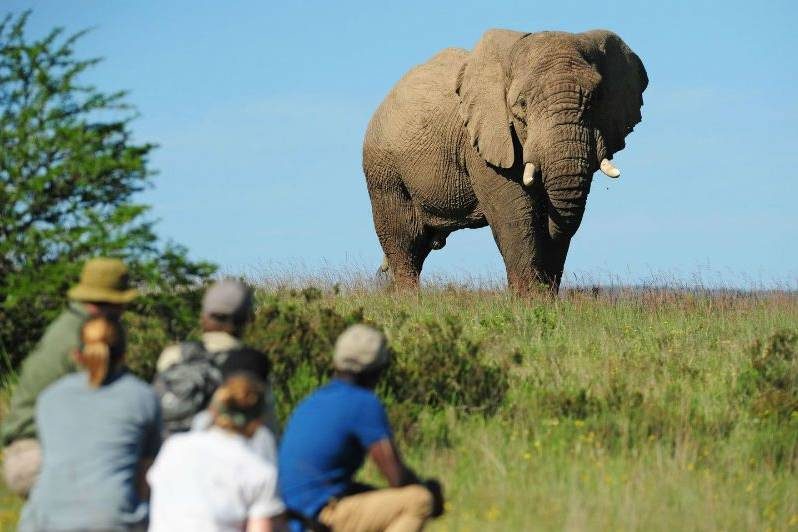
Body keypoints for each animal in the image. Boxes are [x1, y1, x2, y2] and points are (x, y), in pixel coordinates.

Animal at [366, 28, 648, 296]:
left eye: (597, 99)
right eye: (521, 105)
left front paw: (546, 299)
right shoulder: (483, 144)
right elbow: (515, 216)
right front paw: (529, 301)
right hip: (383, 169)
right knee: (405, 241)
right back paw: (410, 300)